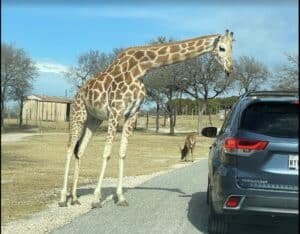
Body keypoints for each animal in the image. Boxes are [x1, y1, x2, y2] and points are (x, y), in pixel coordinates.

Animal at [57, 29, 233, 208]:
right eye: (222, 48)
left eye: (232, 47)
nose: (230, 69)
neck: (142, 68)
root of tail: (77, 94)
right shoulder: (115, 111)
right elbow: (107, 153)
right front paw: (95, 199)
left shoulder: (132, 113)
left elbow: (122, 153)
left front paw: (121, 197)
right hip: (79, 114)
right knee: (69, 148)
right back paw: (63, 198)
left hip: (94, 119)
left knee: (79, 150)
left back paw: (75, 198)